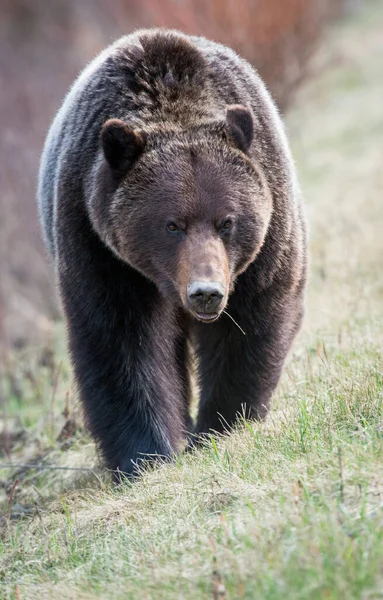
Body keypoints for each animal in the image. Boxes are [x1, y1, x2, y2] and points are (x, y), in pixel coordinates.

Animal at [38, 28, 308, 480]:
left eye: (227, 221)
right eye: (172, 225)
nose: (206, 292)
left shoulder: (265, 240)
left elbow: (251, 323)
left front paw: (221, 424)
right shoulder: (99, 248)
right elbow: (121, 343)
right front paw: (146, 454)